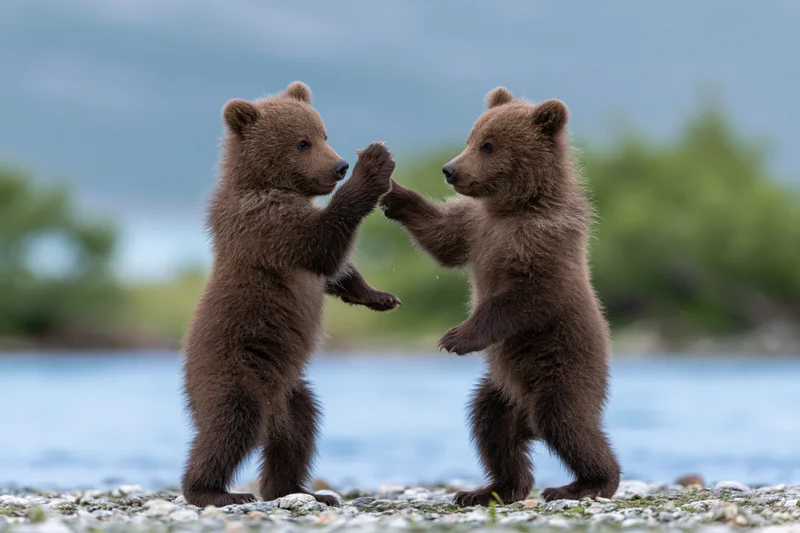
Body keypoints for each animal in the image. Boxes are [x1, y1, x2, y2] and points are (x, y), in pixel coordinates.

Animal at [181, 81, 399, 508]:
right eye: (302, 142)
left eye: (323, 134)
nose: (339, 166)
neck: (267, 183)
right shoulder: (266, 223)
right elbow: (322, 243)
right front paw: (374, 164)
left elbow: (333, 270)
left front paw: (378, 296)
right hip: (234, 373)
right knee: (229, 427)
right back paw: (213, 491)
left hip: (292, 391)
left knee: (300, 432)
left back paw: (302, 490)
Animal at [379, 86, 620, 505]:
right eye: (471, 138)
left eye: (488, 145)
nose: (449, 169)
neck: (513, 207)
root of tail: (527, 421)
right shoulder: (476, 228)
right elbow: (442, 237)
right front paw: (392, 191)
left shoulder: (541, 244)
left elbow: (524, 298)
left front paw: (455, 337)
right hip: (501, 389)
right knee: (491, 428)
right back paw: (488, 489)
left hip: (564, 370)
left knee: (567, 423)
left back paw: (587, 483)